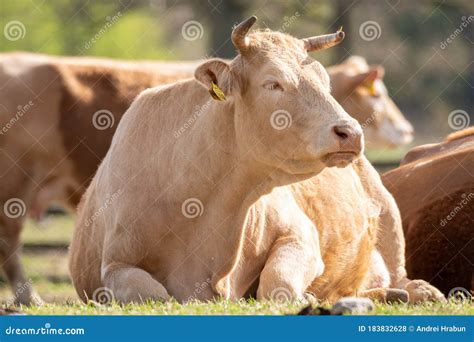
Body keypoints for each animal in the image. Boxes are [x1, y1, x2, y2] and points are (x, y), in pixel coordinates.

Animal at [68, 17, 442, 304]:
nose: (349, 132)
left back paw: (416, 291)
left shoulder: (300, 235)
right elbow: (153, 294)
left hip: (387, 213)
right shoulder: (114, 267)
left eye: (326, 82)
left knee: (399, 274)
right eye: (273, 83)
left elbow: (278, 284)